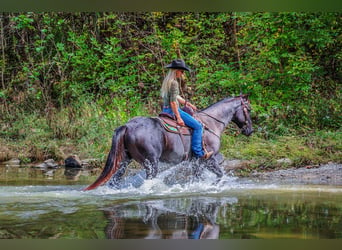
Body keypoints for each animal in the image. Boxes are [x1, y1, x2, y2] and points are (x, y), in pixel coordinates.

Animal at [84, 94, 252, 190]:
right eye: (249, 109)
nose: (250, 130)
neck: (210, 123)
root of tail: (128, 126)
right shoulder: (208, 159)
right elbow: (220, 175)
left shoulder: (197, 162)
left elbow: (198, 177)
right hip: (151, 163)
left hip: (124, 161)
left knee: (114, 181)